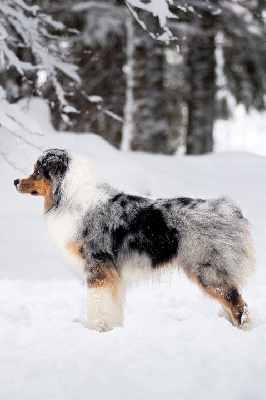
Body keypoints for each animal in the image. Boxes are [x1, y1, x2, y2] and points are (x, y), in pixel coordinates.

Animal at [14, 149, 256, 332]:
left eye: (37, 170)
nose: (15, 180)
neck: (69, 198)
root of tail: (231, 211)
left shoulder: (98, 267)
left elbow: (97, 304)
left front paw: (93, 329)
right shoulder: (114, 275)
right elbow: (112, 306)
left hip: (208, 271)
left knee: (239, 305)